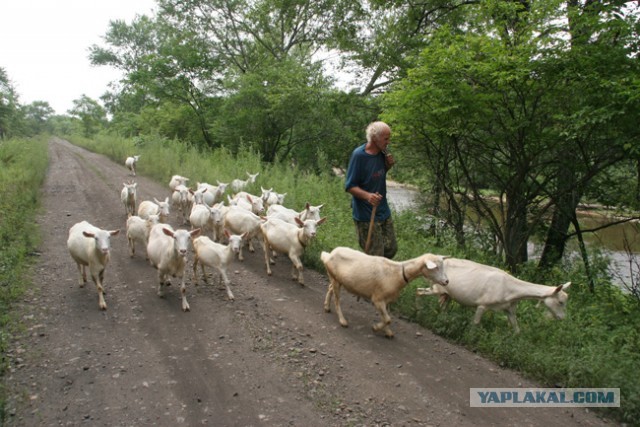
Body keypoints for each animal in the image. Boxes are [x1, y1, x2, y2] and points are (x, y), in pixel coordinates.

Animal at [418, 258, 572, 334]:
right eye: (560, 302)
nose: (562, 318)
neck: (510, 289)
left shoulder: (509, 308)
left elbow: (516, 328)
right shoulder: (483, 304)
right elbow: (475, 323)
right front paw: (470, 337)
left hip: (447, 293)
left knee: (443, 306)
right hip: (437, 287)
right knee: (419, 291)